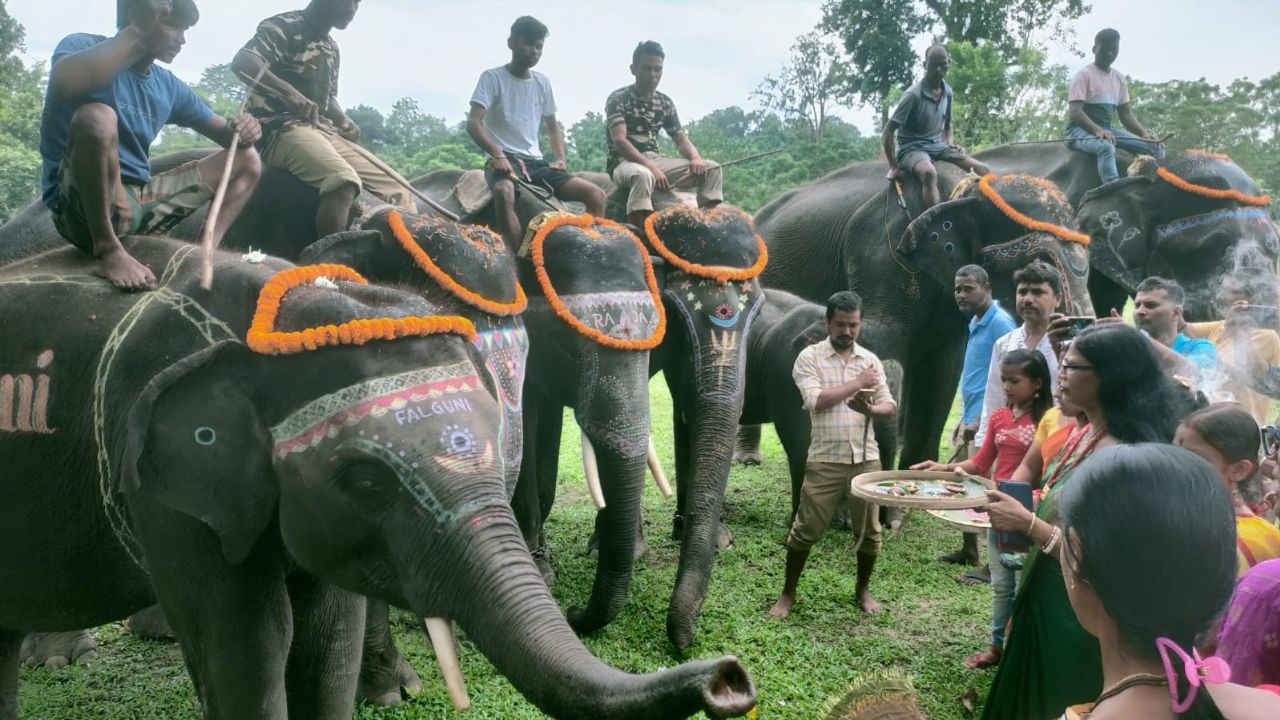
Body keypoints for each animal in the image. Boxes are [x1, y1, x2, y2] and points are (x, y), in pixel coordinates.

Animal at [752, 167, 1095, 471]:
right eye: (1041, 260)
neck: (965, 189)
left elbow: (943, 368)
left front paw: (916, 473)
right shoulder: (883, 251)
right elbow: (888, 334)